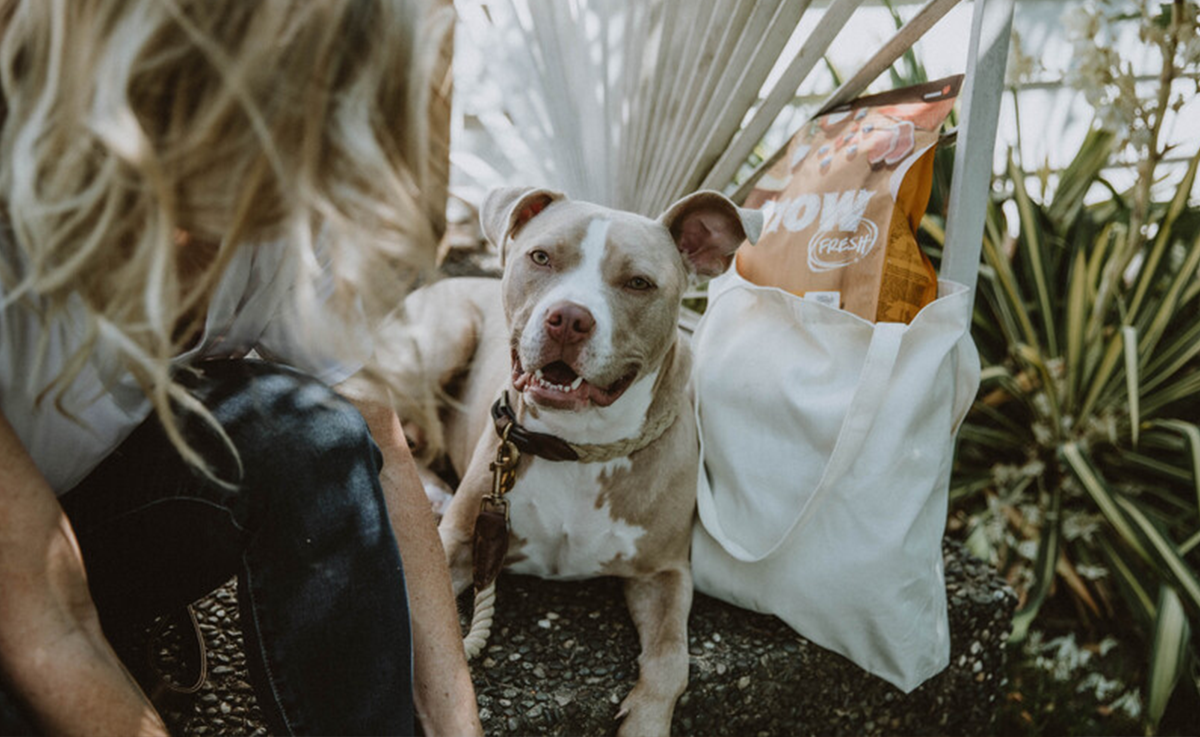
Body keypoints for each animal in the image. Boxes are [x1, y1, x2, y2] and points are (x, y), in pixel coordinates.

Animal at [403, 187, 758, 734]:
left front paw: (645, 721)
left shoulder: (666, 573)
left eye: (638, 283)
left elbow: (671, 659)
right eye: (541, 257)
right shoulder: (458, 544)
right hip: (443, 337)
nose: (568, 318)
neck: (578, 446)